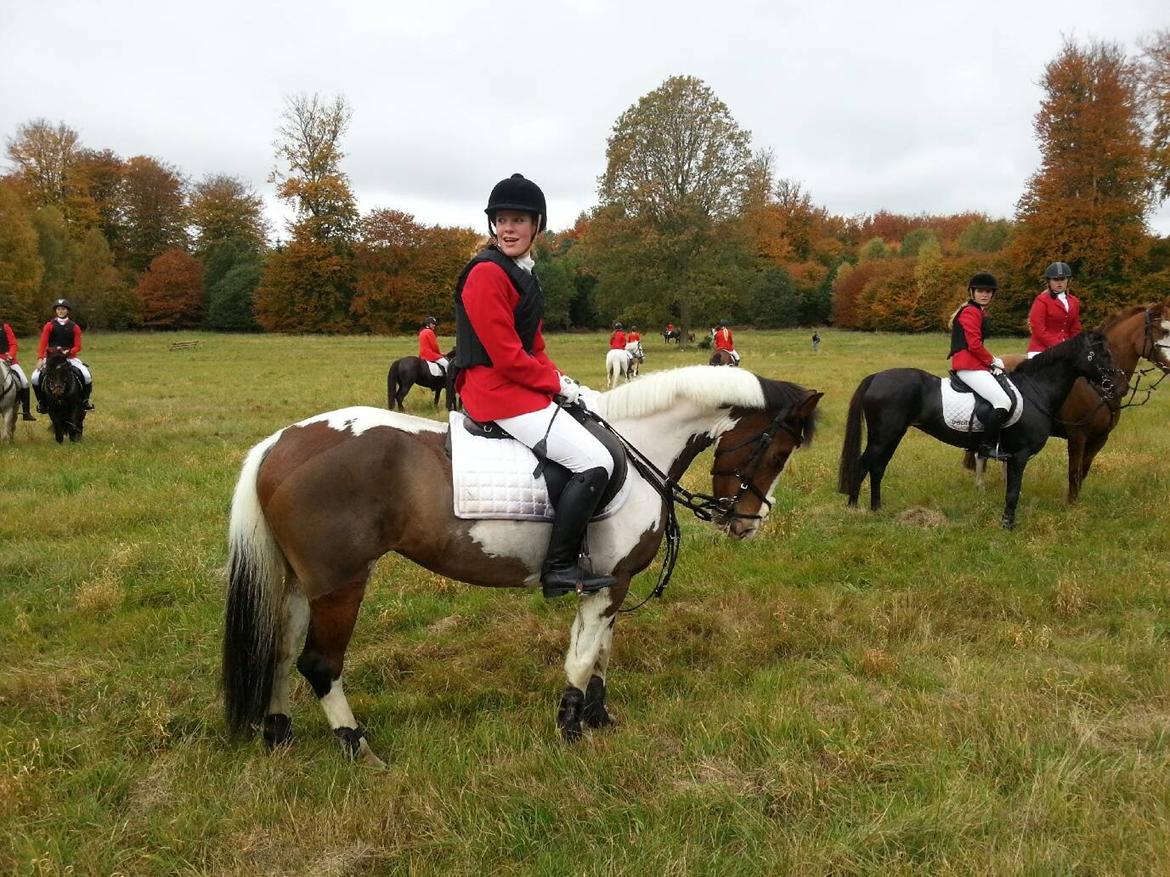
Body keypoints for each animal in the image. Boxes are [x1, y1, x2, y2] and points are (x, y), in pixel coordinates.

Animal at [221, 367, 823, 767]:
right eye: (776, 453)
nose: (747, 523)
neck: (638, 446)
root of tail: (280, 444)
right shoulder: (607, 584)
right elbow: (582, 657)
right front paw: (571, 729)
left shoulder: (611, 582)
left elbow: (601, 651)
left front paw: (599, 718)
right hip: (341, 584)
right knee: (320, 665)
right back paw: (358, 748)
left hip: (300, 584)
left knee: (279, 650)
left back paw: (279, 734)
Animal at [842, 332, 1113, 528]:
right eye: (1100, 354)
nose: (1113, 382)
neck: (1035, 390)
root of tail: (877, 377)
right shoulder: (1020, 454)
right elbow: (1013, 491)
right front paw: (1007, 525)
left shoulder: (1012, 456)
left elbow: (1010, 488)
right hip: (884, 436)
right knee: (864, 465)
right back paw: (854, 511)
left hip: (890, 436)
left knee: (877, 467)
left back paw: (876, 509)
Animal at [964, 301, 1170, 500]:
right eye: (1163, 331)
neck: (1096, 385)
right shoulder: (1077, 435)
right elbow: (1074, 471)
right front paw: (1070, 504)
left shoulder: (1100, 438)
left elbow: (1083, 471)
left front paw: (1077, 502)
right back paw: (981, 487)